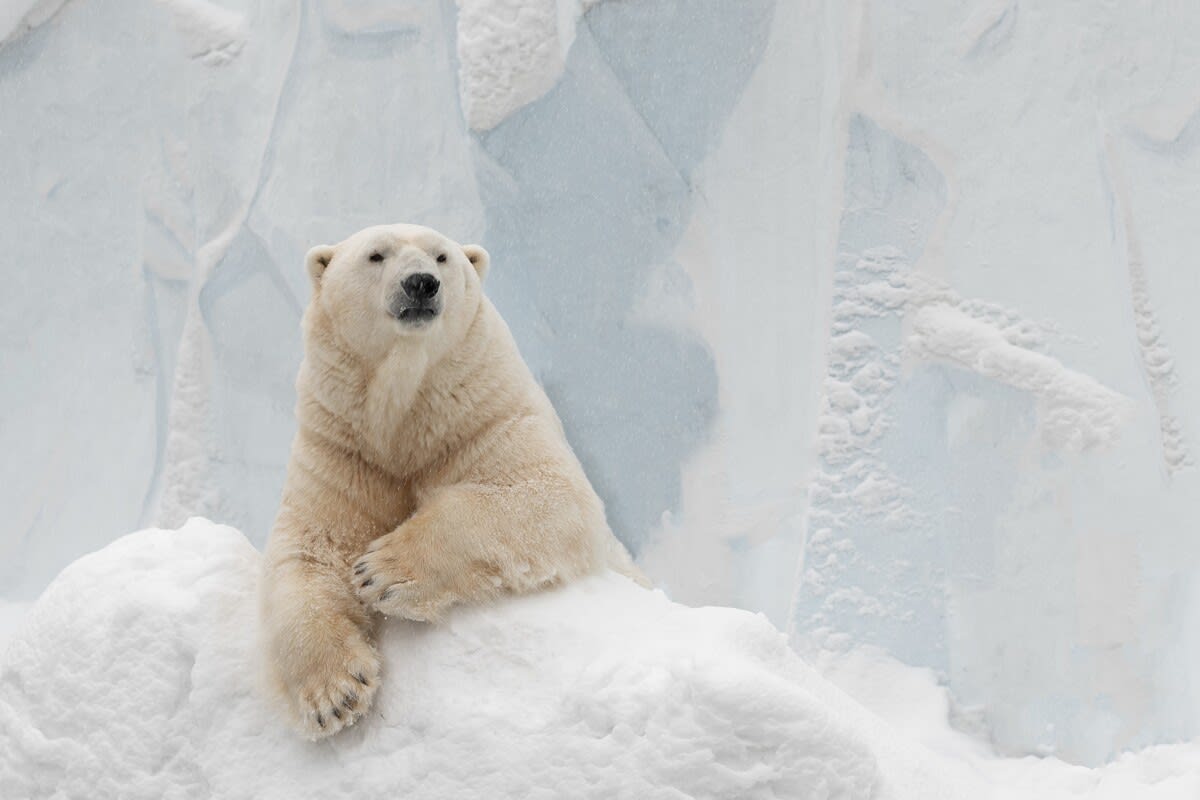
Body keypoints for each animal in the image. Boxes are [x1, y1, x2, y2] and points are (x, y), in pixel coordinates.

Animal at [260, 223, 647, 739]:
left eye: (442, 256)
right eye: (375, 255)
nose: (421, 284)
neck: (405, 420)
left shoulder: (483, 419)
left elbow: (552, 493)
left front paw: (381, 570)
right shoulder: (343, 451)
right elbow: (309, 551)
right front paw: (335, 694)